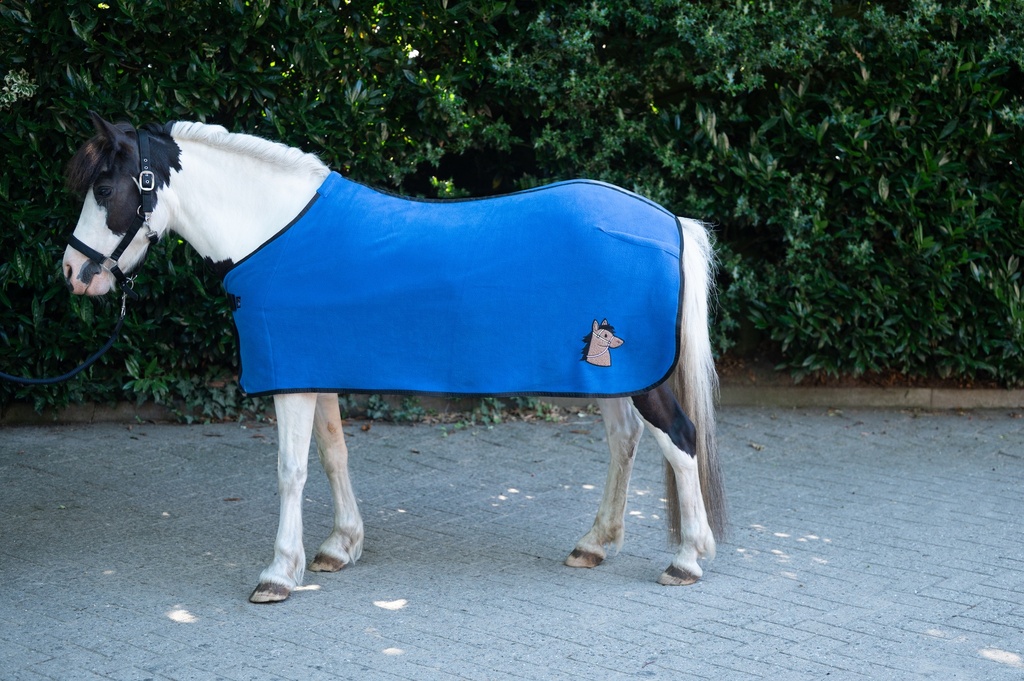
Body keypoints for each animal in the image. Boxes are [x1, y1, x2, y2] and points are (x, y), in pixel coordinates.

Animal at [62, 112, 725, 603]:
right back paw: (594, 543)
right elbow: (333, 455)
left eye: (104, 189)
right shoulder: (314, 368)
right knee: (625, 442)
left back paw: (687, 559)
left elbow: (290, 470)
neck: (273, 233)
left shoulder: (290, 379)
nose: (73, 273)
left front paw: (278, 573)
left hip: (638, 376)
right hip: (612, 376)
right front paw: (340, 547)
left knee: (681, 440)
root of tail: (669, 220)